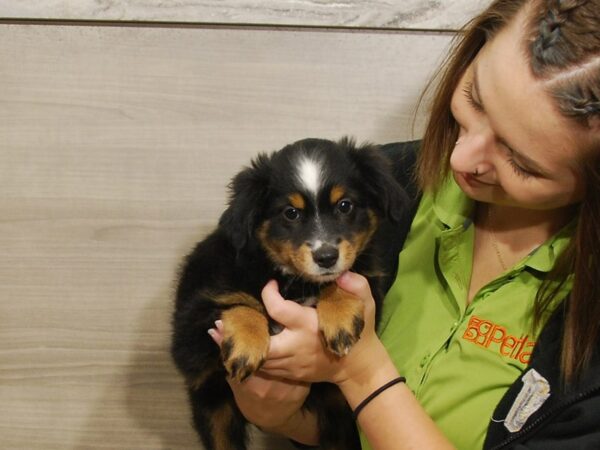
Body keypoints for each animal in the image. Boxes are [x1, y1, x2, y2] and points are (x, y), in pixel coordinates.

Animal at [171, 137, 410, 450]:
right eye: (291, 213)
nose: (326, 257)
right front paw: (246, 343)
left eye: (345, 206)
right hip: (215, 409)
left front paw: (340, 317)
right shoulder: (190, 330)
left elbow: (343, 281)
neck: (295, 282)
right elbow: (239, 304)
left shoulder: (370, 284)